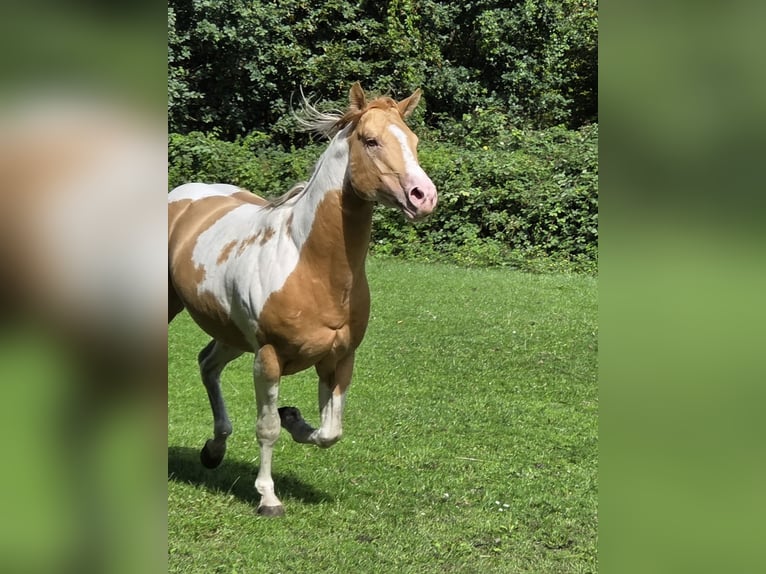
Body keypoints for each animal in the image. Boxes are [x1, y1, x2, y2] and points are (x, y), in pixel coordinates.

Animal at [168, 82, 437, 516]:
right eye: (371, 140)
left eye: (413, 141)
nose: (423, 196)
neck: (308, 264)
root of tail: (184, 193)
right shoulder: (268, 357)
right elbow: (267, 428)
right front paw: (268, 497)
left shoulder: (339, 359)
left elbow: (330, 431)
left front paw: (294, 418)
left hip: (232, 333)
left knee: (207, 364)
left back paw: (214, 449)